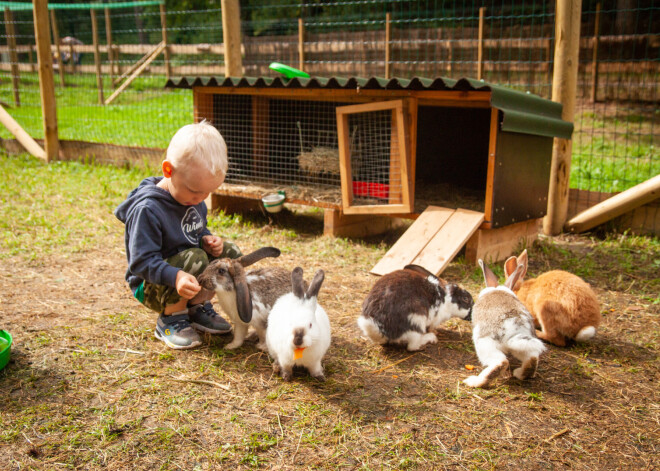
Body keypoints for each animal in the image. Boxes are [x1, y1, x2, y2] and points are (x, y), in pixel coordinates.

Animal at [462, 260, 544, 390]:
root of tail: (516, 328)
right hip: (524, 345)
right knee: (532, 359)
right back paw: (519, 373)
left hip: (485, 344)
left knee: (501, 362)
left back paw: (474, 381)